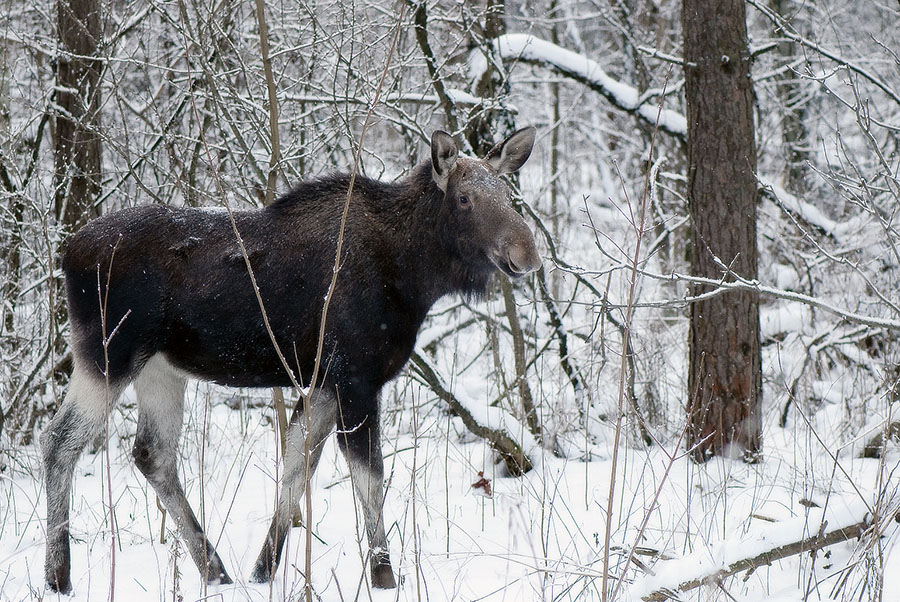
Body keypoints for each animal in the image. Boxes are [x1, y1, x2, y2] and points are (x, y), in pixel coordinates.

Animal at [40, 126, 540, 592]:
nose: (527, 253)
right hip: (107, 354)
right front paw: (383, 576)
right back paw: (58, 575)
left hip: (160, 369)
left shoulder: (322, 383)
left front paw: (264, 571)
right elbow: (370, 478)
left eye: (508, 193)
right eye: (464, 198)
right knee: (59, 440)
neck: (413, 275)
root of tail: (66, 253)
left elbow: (298, 468)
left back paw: (214, 568)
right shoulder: (356, 379)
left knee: (152, 453)